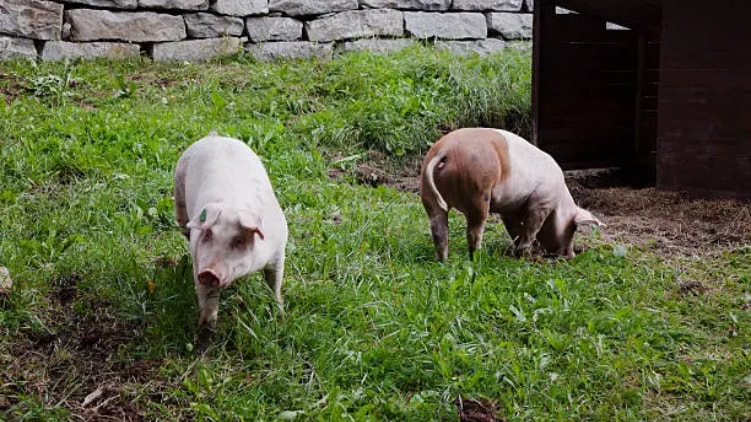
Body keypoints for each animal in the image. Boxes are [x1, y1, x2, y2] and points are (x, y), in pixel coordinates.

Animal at [174, 135, 288, 332]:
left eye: (239, 241)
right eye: (207, 235)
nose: (209, 272)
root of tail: (214, 136)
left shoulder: (279, 251)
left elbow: (275, 283)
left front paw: (280, 315)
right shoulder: (198, 260)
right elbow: (208, 304)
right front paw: (206, 331)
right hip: (178, 188)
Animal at [420, 128, 604, 261]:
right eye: (573, 228)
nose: (571, 256)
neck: (558, 204)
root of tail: (445, 150)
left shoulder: (509, 208)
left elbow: (514, 229)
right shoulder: (541, 202)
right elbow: (531, 229)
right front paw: (527, 257)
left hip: (428, 194)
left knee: (439, 231)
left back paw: (444, 261)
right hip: (478, 191)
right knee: (473, 231)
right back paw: (478, 259)